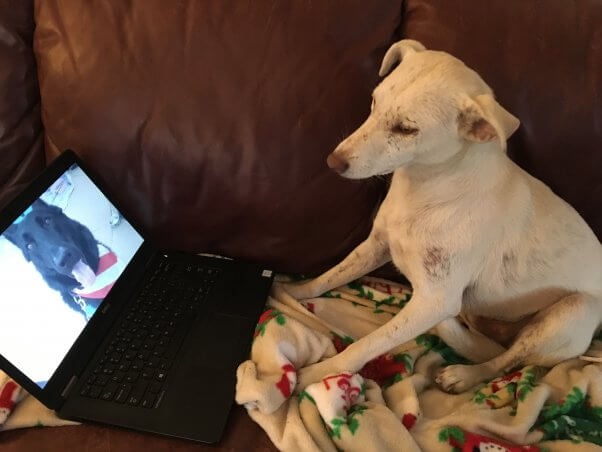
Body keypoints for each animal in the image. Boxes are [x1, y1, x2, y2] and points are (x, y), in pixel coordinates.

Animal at [282, 38, 600, 392]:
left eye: (406, 129)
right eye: (374, 102)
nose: (332, 162)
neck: (427, 190)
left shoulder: (435, 300)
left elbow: (370, 343)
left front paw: (320, 372)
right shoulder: (376, 245)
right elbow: (328, 277)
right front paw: (290, 292)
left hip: (569, 314)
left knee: (506, 360)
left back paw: (464, 375)